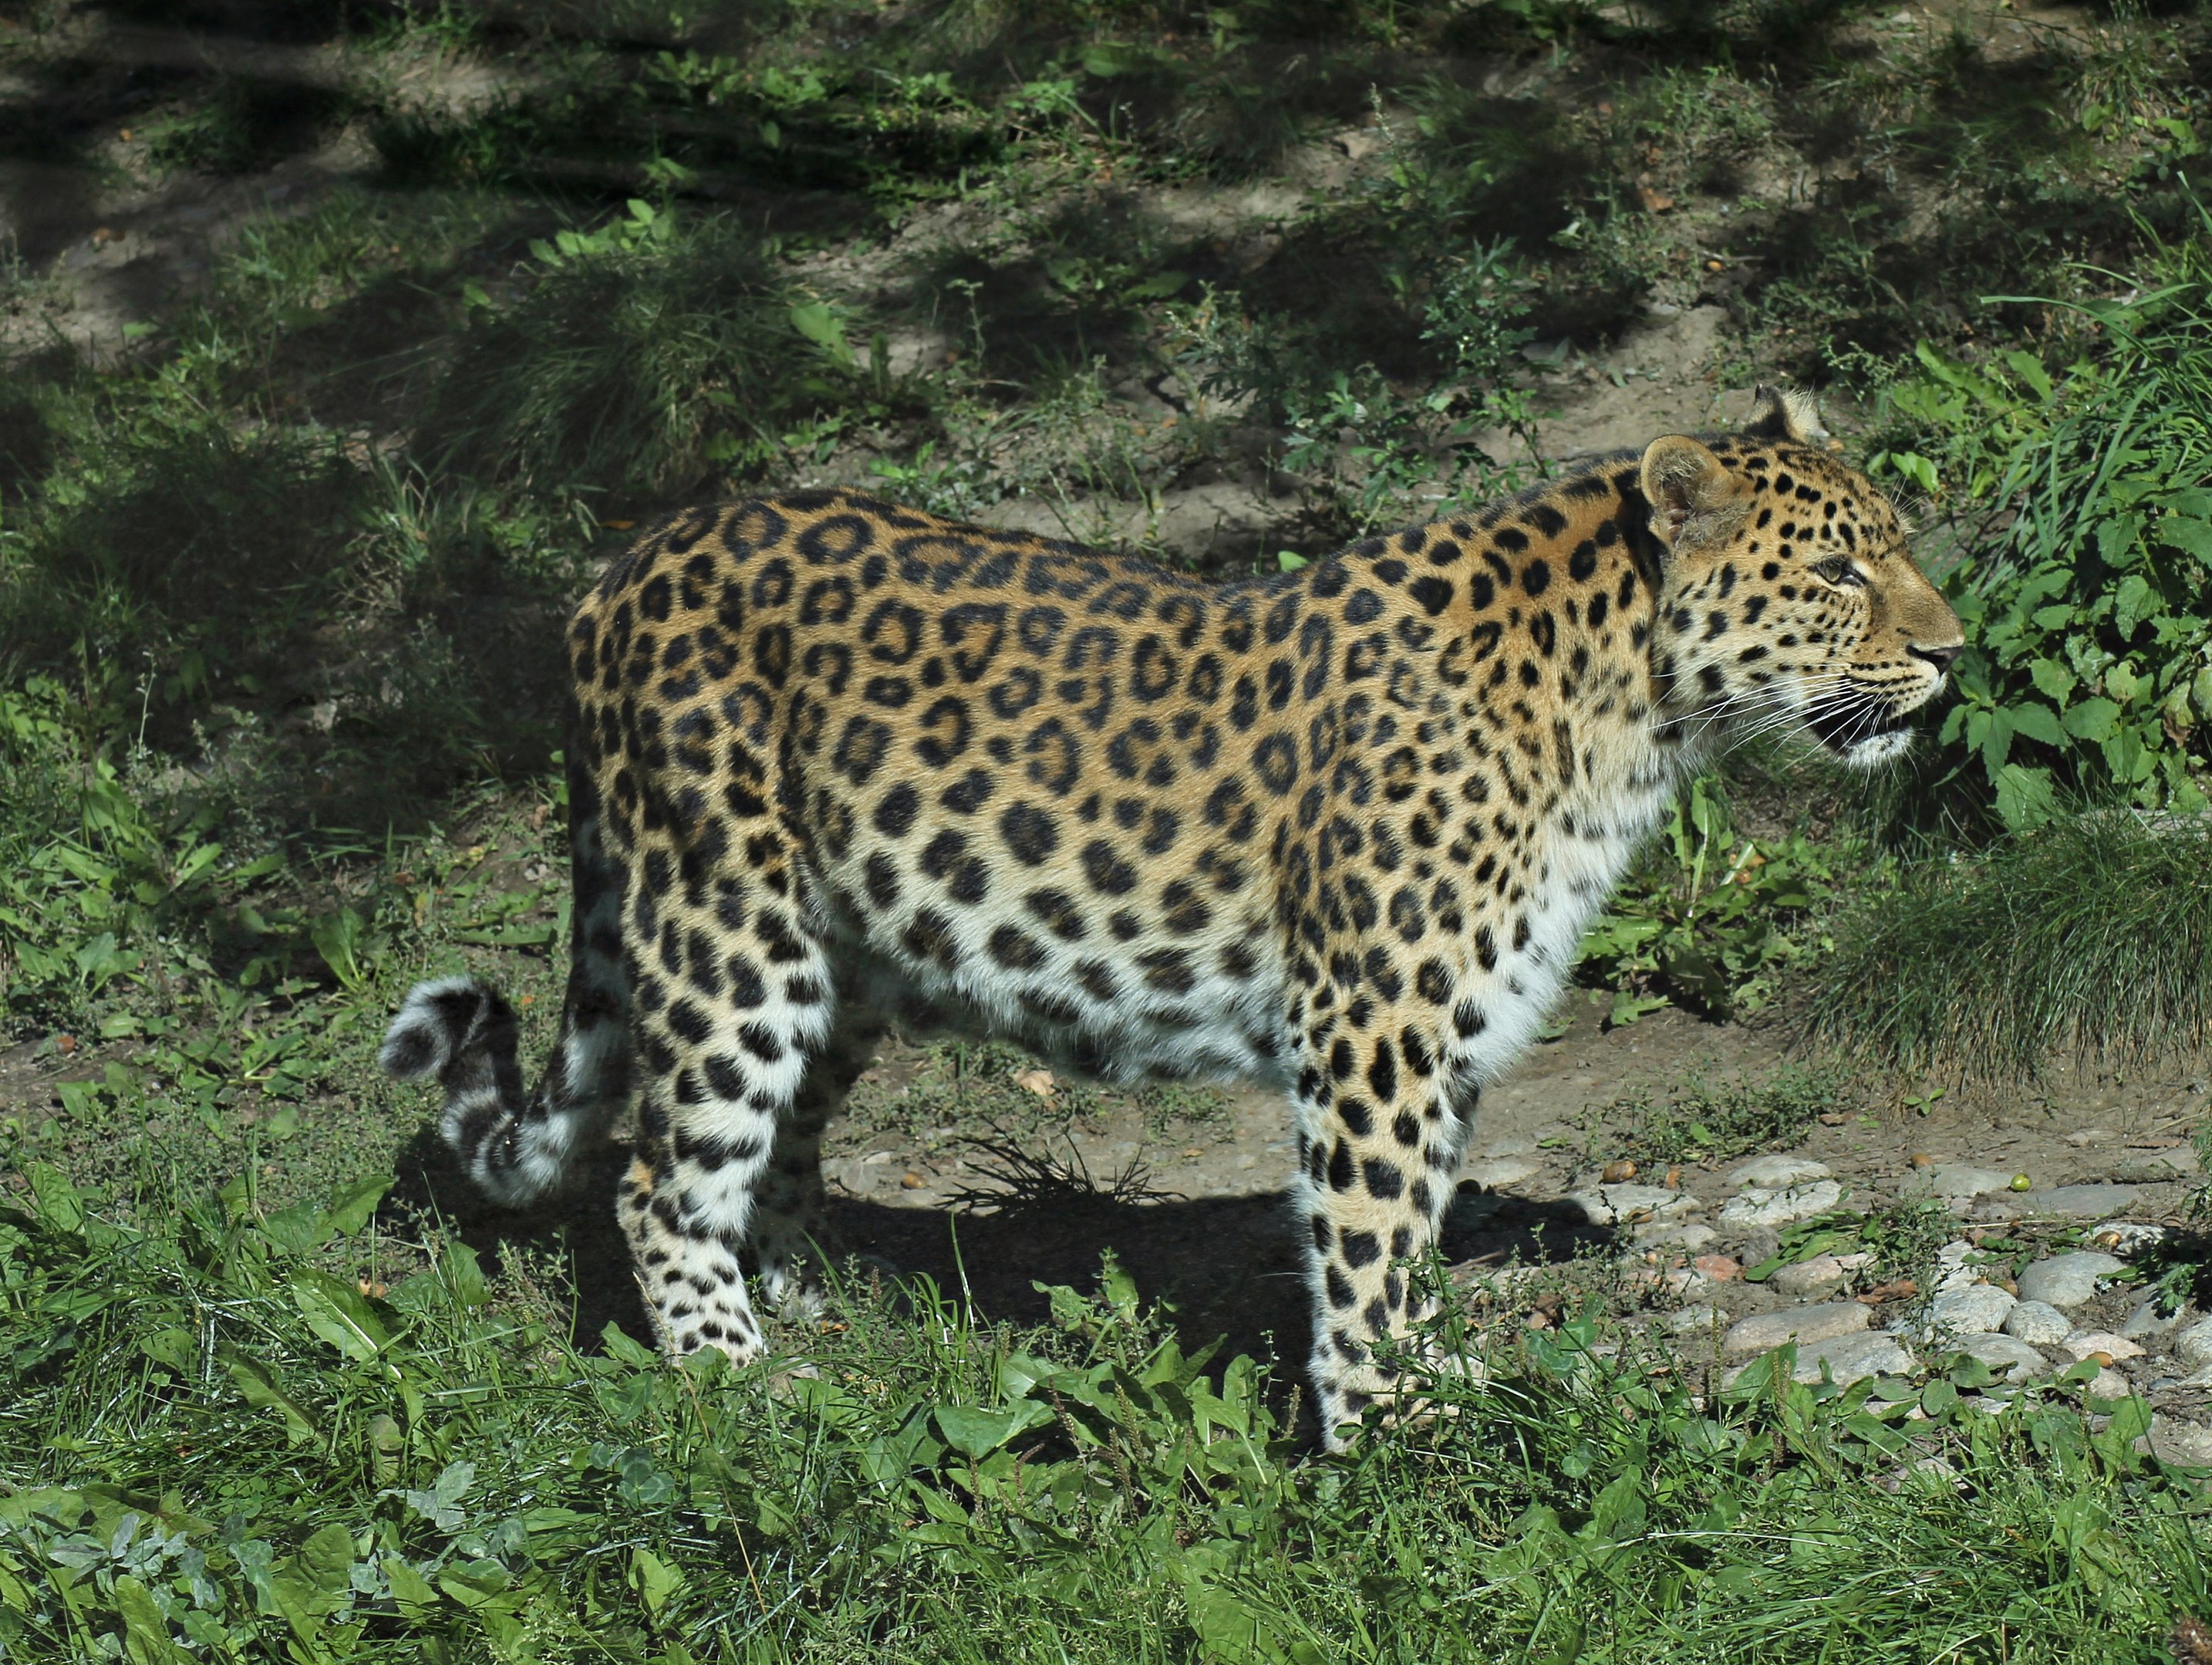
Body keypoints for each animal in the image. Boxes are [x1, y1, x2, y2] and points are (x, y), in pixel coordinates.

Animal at [379, 385, 1962, 1444]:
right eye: (1838, 572)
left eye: (1899, 547)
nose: (1952, 653)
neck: (1629, 715)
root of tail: (617, 567)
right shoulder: (1372, 1025)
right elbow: (1369, 1243)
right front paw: (1391, 1440)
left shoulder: (1443, 1032)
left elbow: (1418, 1232)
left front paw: (1434, 1380)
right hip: (725, 930)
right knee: (660, 1175)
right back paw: (735, 1371)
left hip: (844, 952)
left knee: (781, 1149)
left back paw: (833, 1298)